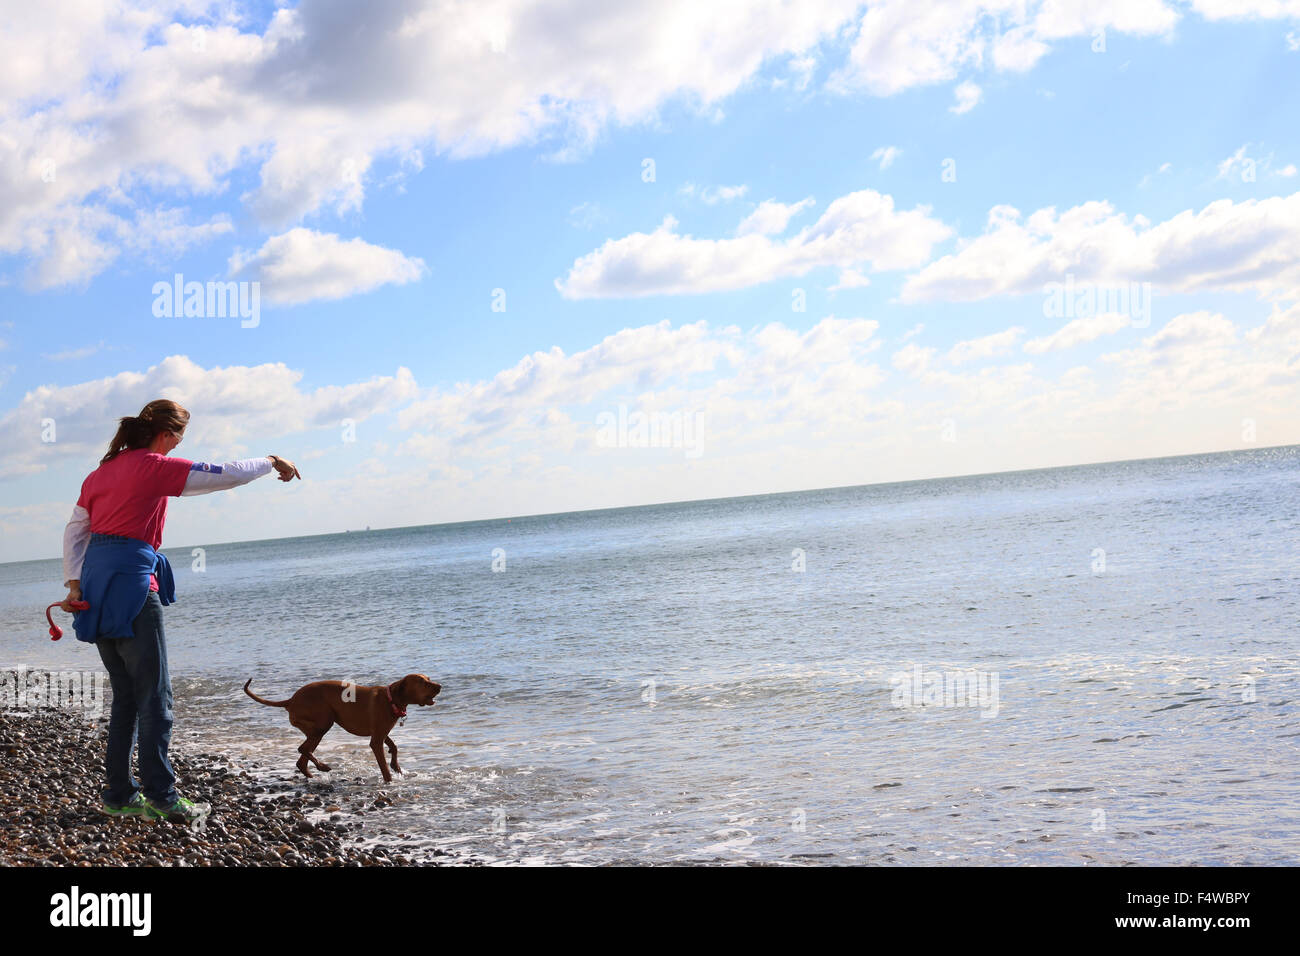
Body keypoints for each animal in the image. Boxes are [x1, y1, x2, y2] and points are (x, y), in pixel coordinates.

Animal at [244, 676, 441, 780]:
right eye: (423, 682)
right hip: (323, 723)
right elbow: (384, 766)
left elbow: (394, 746)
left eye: (429, 679)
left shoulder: (380, 732)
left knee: (301, 759)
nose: (440, 686)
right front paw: (390, 779)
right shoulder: (376, 740)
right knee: (302, 749)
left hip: (315, 730)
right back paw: (322, 766)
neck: (391, 699)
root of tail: (291, 699)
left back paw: (311, 774)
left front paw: (396, 765)